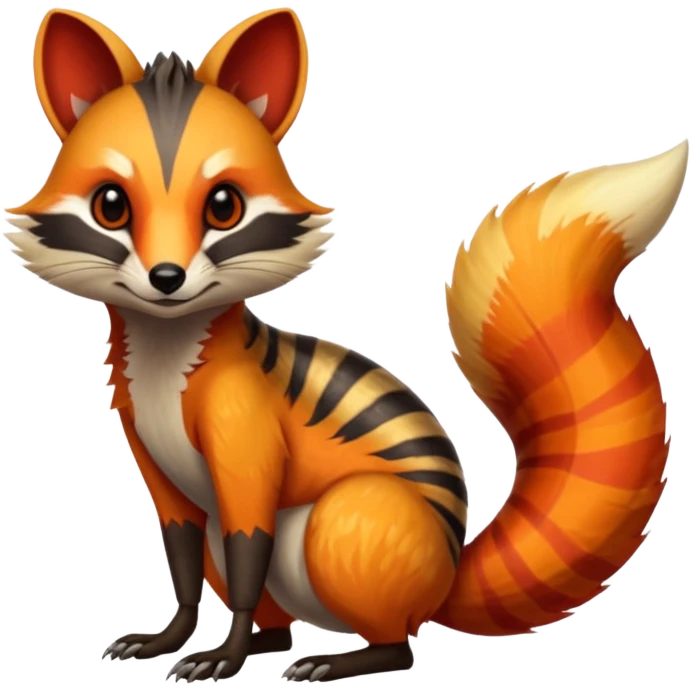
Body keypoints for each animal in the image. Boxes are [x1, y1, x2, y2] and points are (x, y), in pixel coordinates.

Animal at [3, 5, 688, 686]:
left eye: (224, 206)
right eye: (110, 205)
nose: (166, 278)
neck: (167, 349)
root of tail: (445, 579)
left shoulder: (246, 430)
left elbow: (248, 538)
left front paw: (226, 650)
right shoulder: (152, 457)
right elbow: (183, 556)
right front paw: (173, 636)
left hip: (353, 522)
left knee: (394, 640)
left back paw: (339, 657)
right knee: (272, 615)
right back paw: (269, 642)